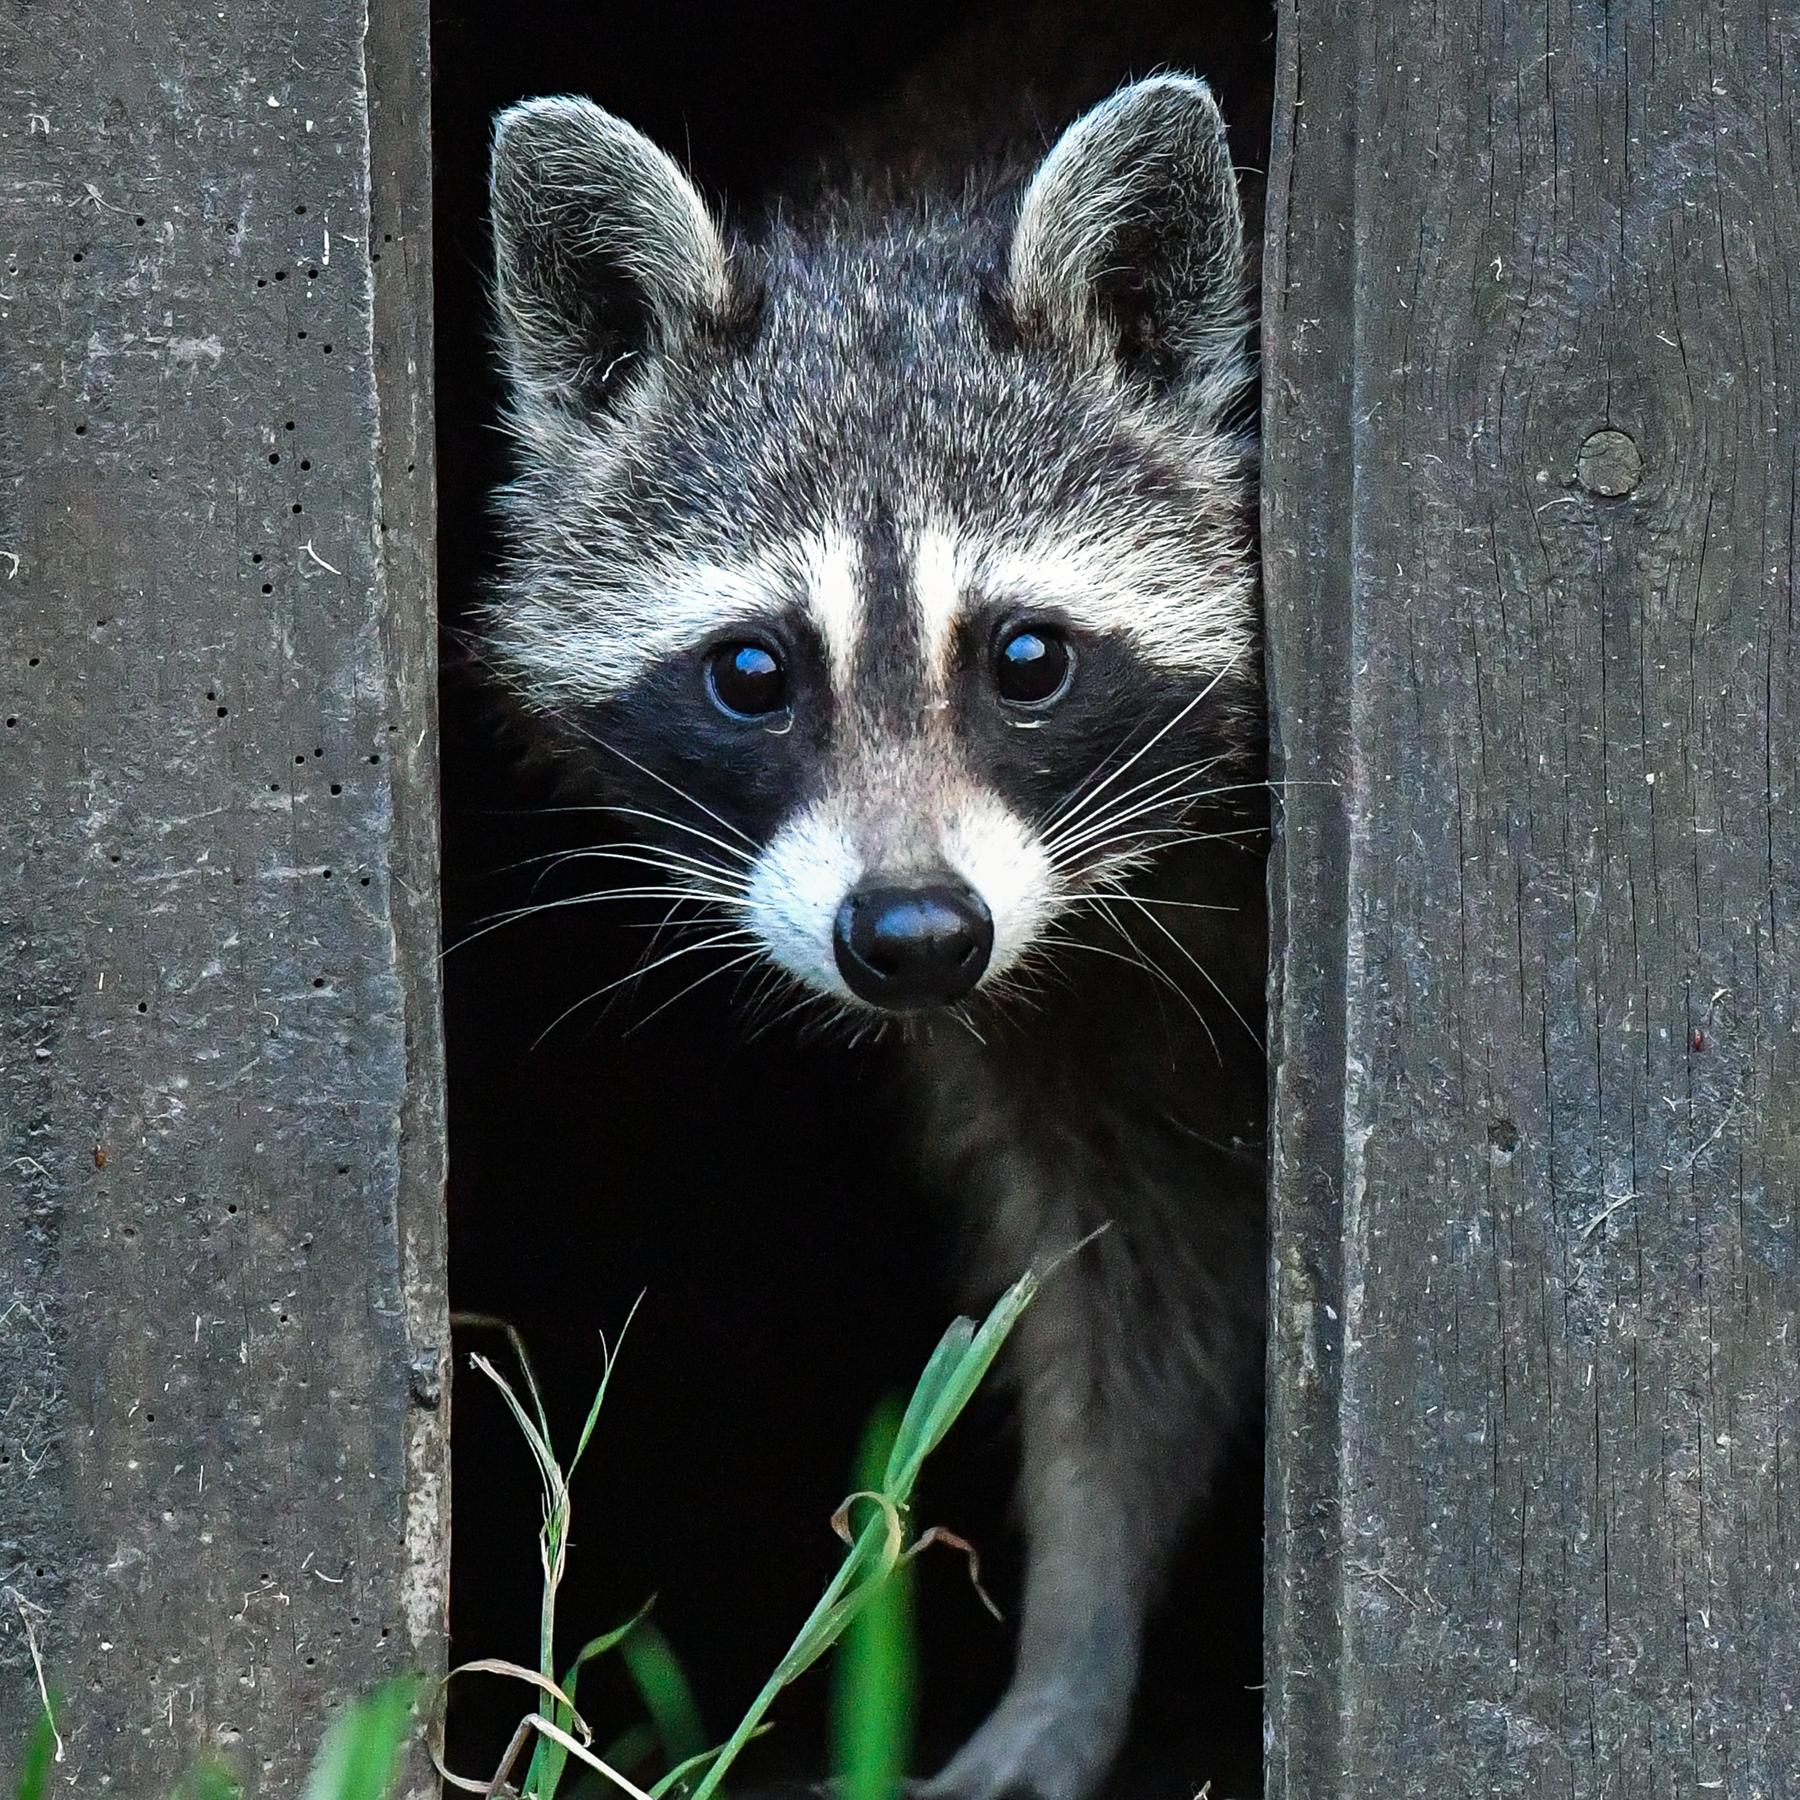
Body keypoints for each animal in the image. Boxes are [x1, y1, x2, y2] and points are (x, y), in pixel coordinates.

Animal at [482, 73, 1267, 1800]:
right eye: (752, 674)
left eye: (1026, 659)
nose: (911, 933)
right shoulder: (1052, 1027)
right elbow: (1115, 1306)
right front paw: (1075, 1649)